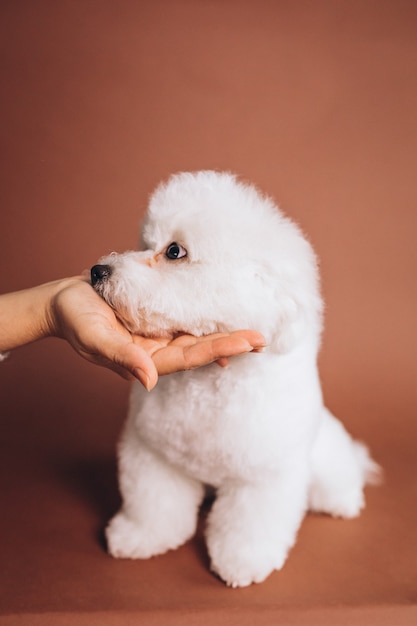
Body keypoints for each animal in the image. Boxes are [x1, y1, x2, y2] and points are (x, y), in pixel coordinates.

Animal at [92, 169, 378, 584]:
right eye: (146, 243)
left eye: (174, 251)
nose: (98, 271)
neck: (208, 383)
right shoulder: (153, 454)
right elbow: (153, 505)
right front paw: (140, 537)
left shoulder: (264, 475)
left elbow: (249, 524)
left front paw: (243, 562)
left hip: (324, 460)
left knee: (339, 476)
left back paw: (344, 501)